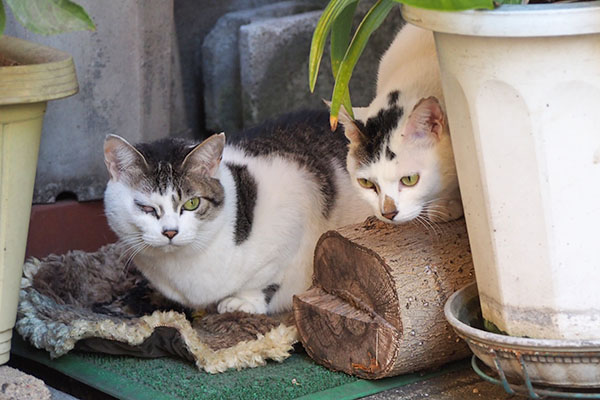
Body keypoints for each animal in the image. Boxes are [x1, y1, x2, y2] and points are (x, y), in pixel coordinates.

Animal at [105, 111, 372, 314]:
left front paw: (243, 302)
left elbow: (268, 279)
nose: (170, 232)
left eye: (192, 203)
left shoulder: (295, 217)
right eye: (146, 207)